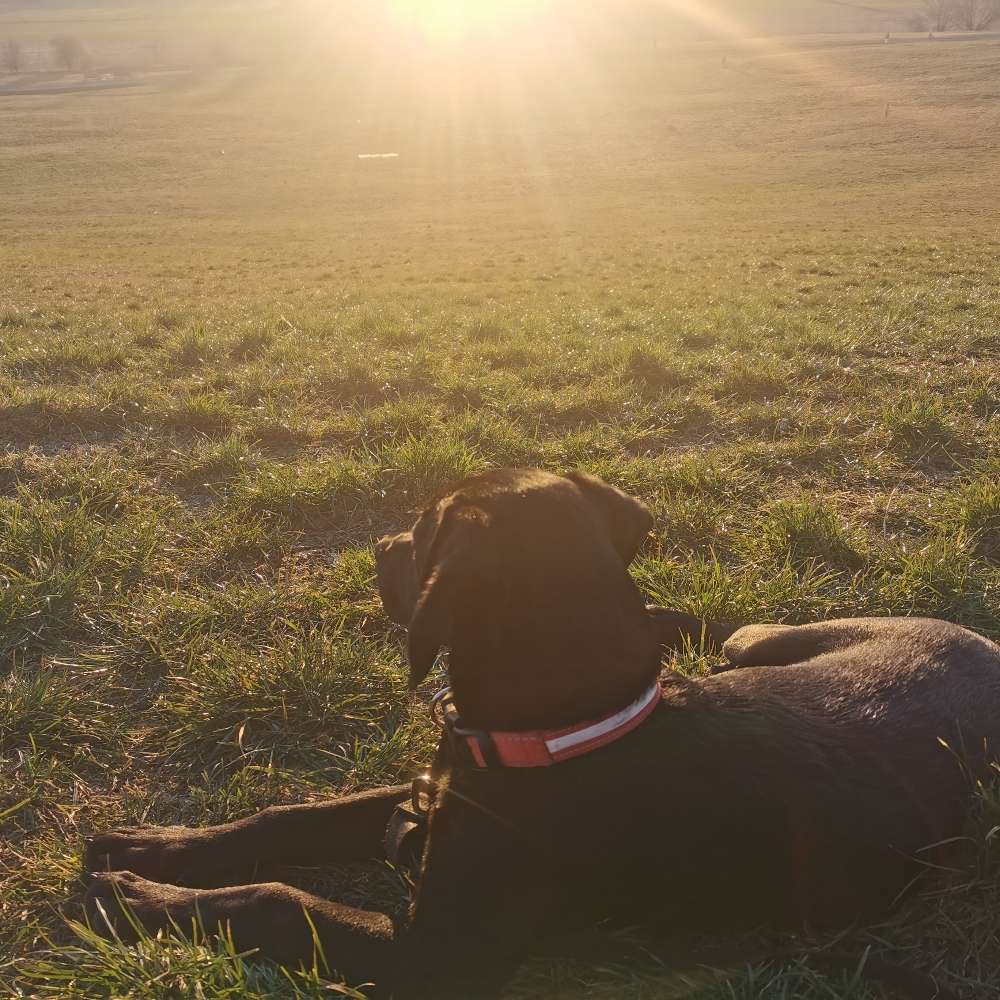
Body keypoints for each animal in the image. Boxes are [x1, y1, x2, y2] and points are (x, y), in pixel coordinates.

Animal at [86, 470, 1000, 1000]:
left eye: (423, 529)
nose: (378, 544)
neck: (571, 732)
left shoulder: (435, 955)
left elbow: (277, 900)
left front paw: (129, 899)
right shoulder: (427, 795)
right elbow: (290, 820)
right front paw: (154, 849)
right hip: (759, 644)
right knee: (713, 629)